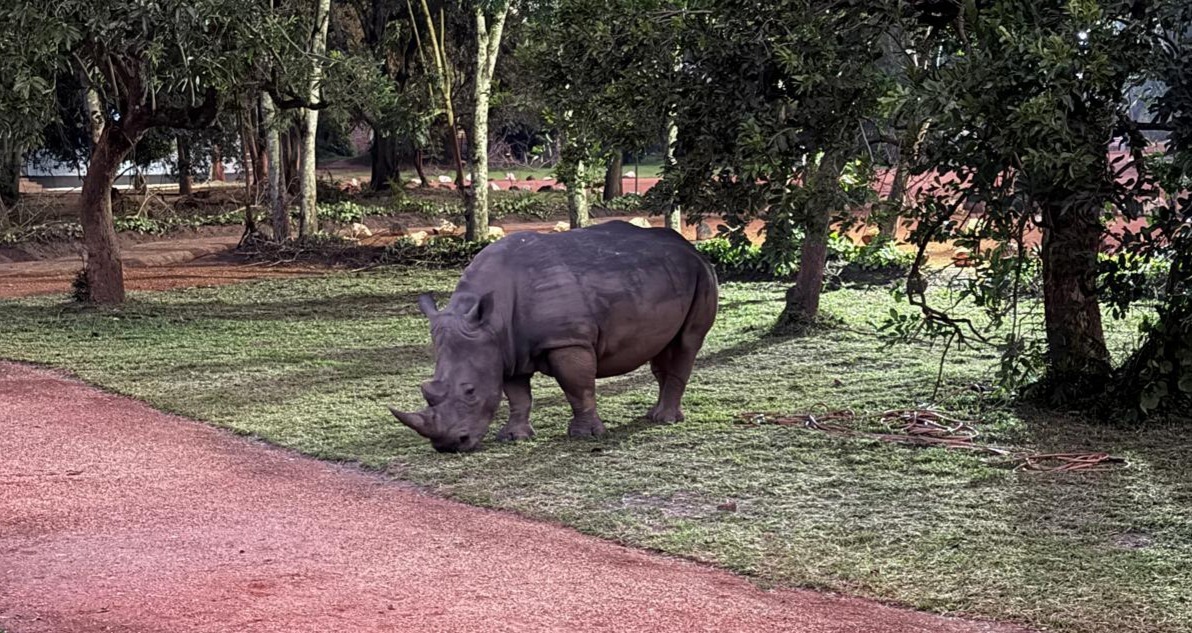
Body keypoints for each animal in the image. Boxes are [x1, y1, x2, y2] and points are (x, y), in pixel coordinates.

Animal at [389, 220, 719, 452]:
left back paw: (664, 420)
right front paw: (514, 437)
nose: (448, 446)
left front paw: (585, 436)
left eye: (469, 391)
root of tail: (690, 248)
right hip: (662, 277)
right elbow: (518, 395)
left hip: (702, 275)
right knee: (662, 349)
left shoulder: (567, 341)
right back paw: (655, 415)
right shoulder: (505, 349)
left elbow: (578, 388)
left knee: (687, 342)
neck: (492, 322)